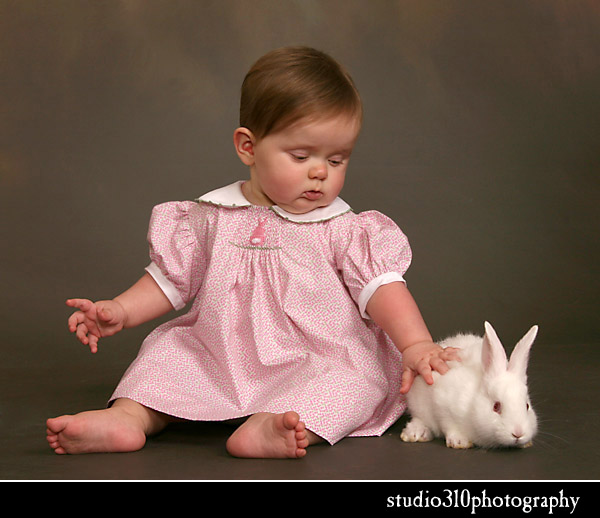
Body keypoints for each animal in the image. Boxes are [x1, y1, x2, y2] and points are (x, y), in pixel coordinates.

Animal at [400, 320, 536, 450]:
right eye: (496, 406)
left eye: (527, 406)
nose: (518, 433)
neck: (473, 403)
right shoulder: (442, 403)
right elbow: (449, 424)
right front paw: (460, 441)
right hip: (418, 405)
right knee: (420, 419)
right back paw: (415, 433)